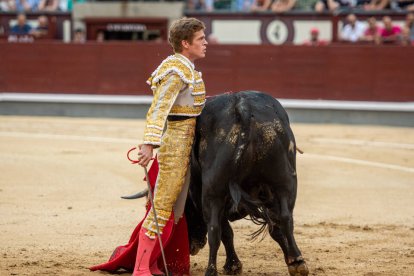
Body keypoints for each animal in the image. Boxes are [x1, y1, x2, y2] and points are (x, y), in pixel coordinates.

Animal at [130, 91, 310, 276]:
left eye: (187, 211)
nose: (192, 247)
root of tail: (243, 107)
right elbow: (275, 227)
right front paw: (292, 261)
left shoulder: (202, 194)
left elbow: (225, 232)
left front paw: (233, 265)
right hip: (285, 180)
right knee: (285, 217)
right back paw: (298, 261)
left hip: (213, 191)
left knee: (215, 230)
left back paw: (211, 270)